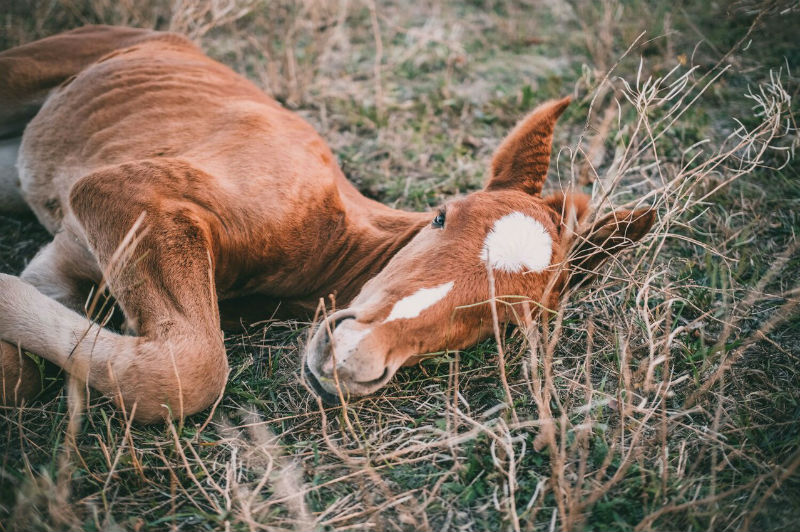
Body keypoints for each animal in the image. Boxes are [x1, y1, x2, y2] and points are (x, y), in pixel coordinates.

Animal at [0, 26, 652, 424]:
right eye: (441, 216)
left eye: (508, 321)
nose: (353, 356)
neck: (328, 238)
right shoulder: (122, 191)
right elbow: (189, 373)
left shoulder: (69, 259)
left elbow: (33, 373)